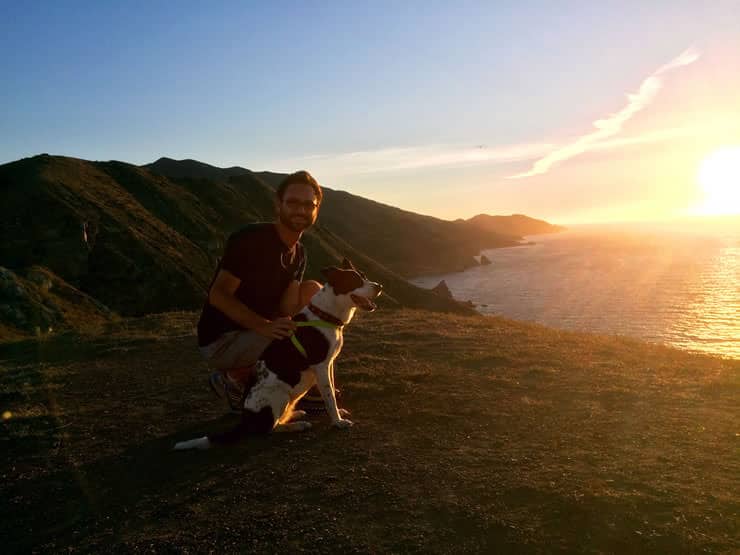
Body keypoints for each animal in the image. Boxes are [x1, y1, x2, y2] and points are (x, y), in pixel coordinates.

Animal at [175, 258, 382, 450]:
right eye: (355, 281)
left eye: (364, 276)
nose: (379, 286)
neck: (325, 314)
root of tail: (245, 419)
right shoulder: (321, 365)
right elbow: (329, 395)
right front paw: (337, 421)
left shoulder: (328, 363)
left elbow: (330, 389)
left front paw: (338, 412)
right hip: (279, 394)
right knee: (268, 429)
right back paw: (297, 425)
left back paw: (295, 414)